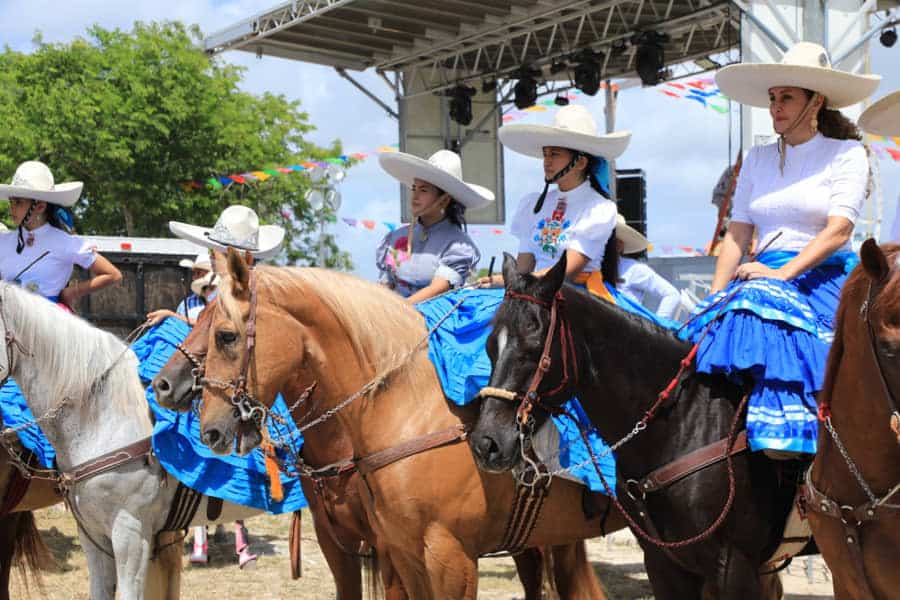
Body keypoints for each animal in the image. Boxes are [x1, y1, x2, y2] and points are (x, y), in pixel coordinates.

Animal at [468, 254, 792, 600]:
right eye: (489, 346)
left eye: (535, 347)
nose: (487, 443)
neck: (690, 418)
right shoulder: (665, 563)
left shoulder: (735, 566)